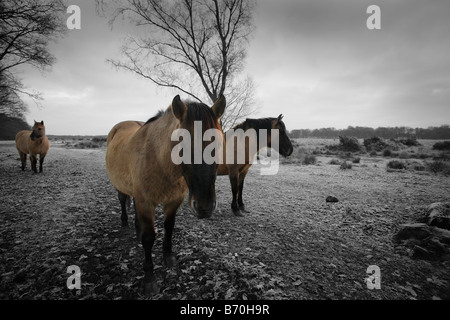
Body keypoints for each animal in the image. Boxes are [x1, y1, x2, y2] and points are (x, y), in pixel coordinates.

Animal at [105, 94, 225, 294]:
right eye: (182, 145)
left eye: (220, 143)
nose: (204, 206)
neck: (159, 161)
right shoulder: (146, 203)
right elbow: (148, 238)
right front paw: (149, 279)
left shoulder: (173, 201)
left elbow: (169, 227)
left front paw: (168, 256)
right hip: (121, 187)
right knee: (122, 200)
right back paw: (125, 223)